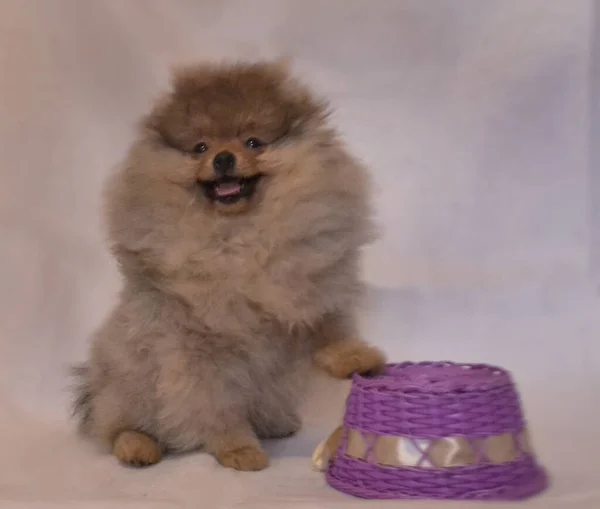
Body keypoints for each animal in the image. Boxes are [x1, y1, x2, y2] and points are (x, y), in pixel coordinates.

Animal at [72, 60, 384, 472]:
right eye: (200, 147)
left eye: (252, 142)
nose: (222, 158)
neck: (239, 238)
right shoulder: (201, 348)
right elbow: (216, 405)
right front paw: (237, 448)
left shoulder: (309, 293)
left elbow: (330, 329)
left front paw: (354, 358)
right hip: (129, 384)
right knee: (115, 424)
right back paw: (136, 445)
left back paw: (274, 422)